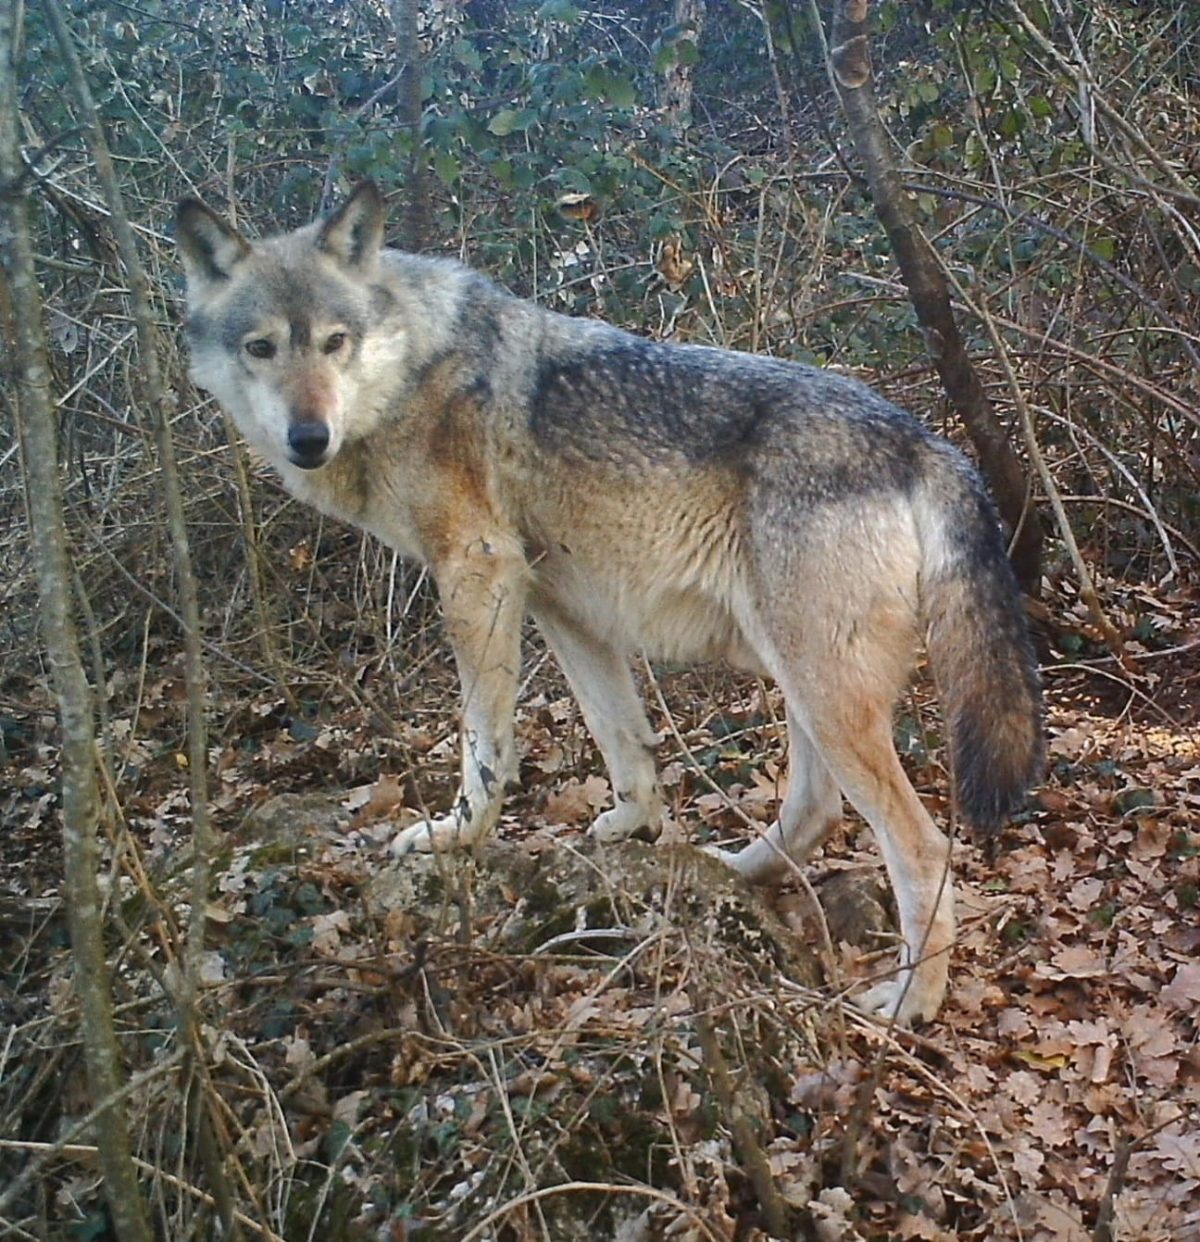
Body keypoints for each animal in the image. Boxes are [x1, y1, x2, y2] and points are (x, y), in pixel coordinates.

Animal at [176, 181, 1042, 1024]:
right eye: (261, 348)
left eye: (334, 342)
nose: (307, 436)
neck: (413, 366)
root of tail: (926, 444)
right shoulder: (564, 609)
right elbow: (622, 740)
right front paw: (633, 828)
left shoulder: (476, 575)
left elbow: (485, 745)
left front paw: (456, 835)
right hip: (801, 682)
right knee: (814, 811)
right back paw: (728, 868)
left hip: (822, 690)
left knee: (922, 847)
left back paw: (909, 1003)